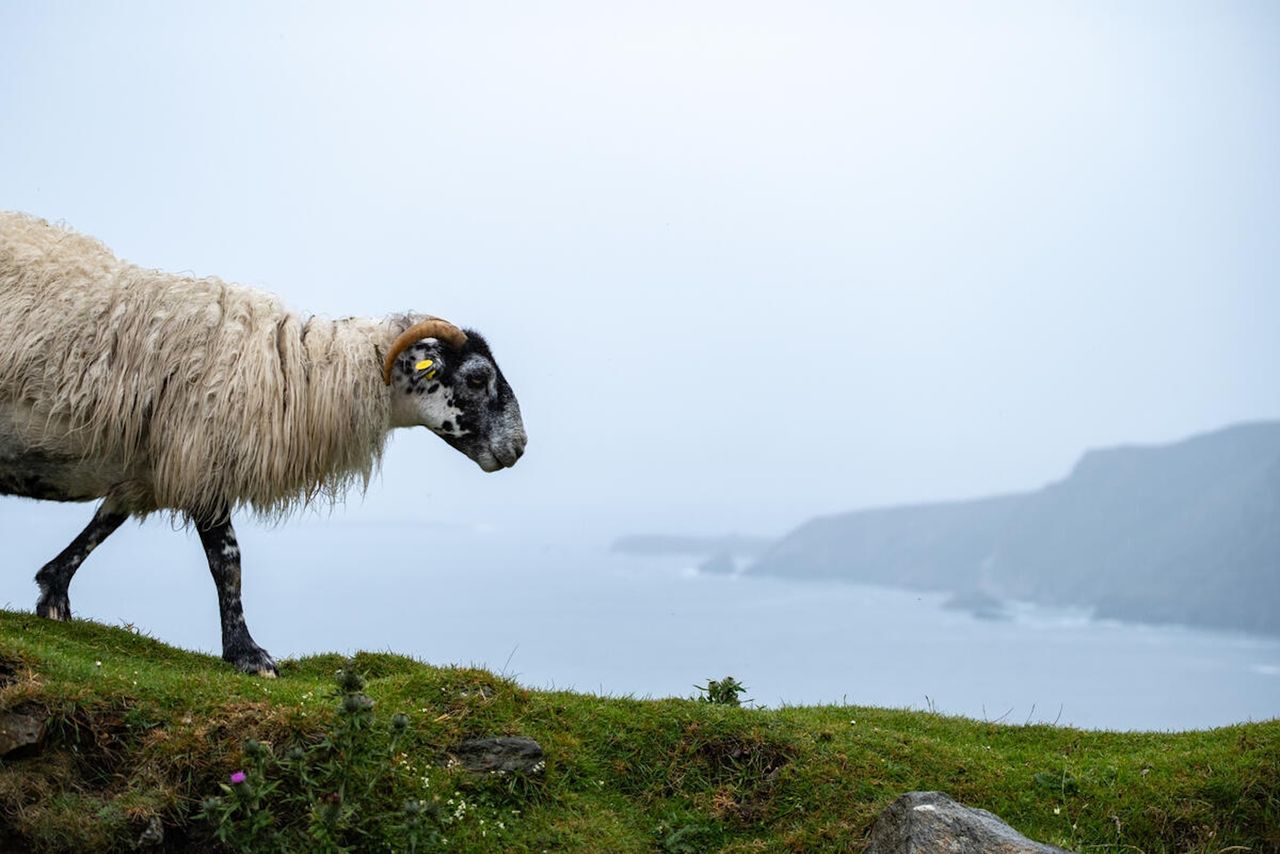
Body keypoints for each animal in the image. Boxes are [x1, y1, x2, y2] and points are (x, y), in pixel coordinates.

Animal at [0, 211, 527, 675]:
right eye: (476, 379)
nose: (520, 446)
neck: (302, 375)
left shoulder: (150, 467)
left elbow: (103, 524)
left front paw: (53, 591)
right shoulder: (206, 459)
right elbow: (228, 563)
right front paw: (247, 654)